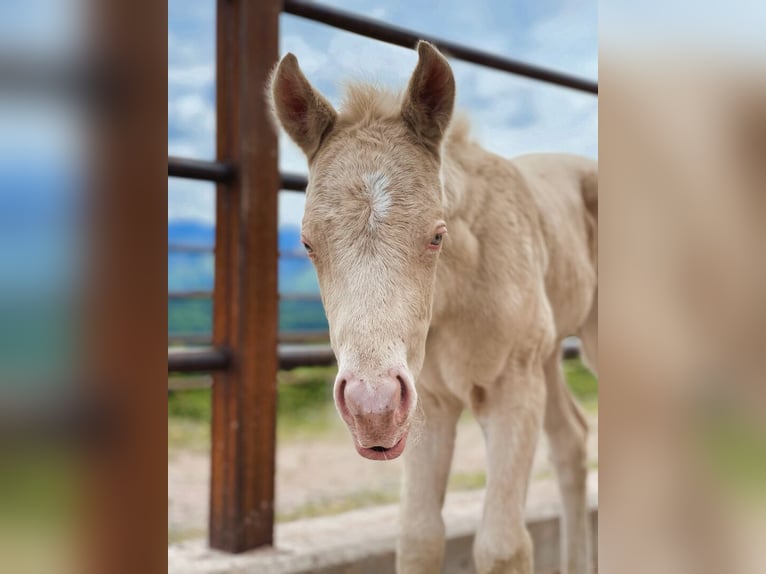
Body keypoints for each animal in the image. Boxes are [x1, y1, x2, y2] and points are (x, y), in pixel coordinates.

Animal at [270, 41, 597, 574]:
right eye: (307, 243)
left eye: (437, 235)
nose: (371, 408)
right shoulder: (428, 401)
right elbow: (419, 535)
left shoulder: (511, 387)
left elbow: (503, 545)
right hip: (545, 355)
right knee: (570, 440)